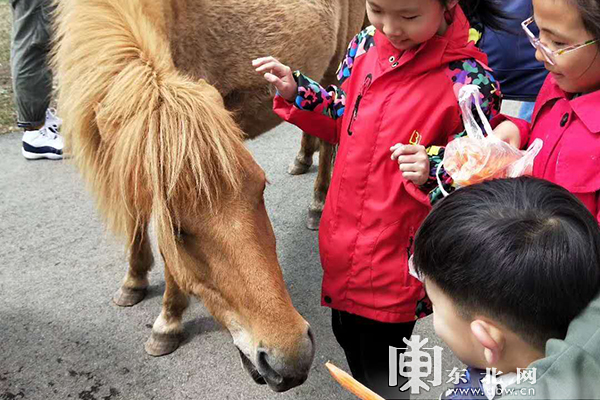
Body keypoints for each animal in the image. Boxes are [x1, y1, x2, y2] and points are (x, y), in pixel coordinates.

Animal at [54, 0, 366, 394]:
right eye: (177, 229)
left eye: (261, 189)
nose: (291, 357)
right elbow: (134, 214)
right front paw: (134, 280)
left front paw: (168, 321)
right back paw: (301, 159)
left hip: (335, 68)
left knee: (329, 135)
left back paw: (318, 201)